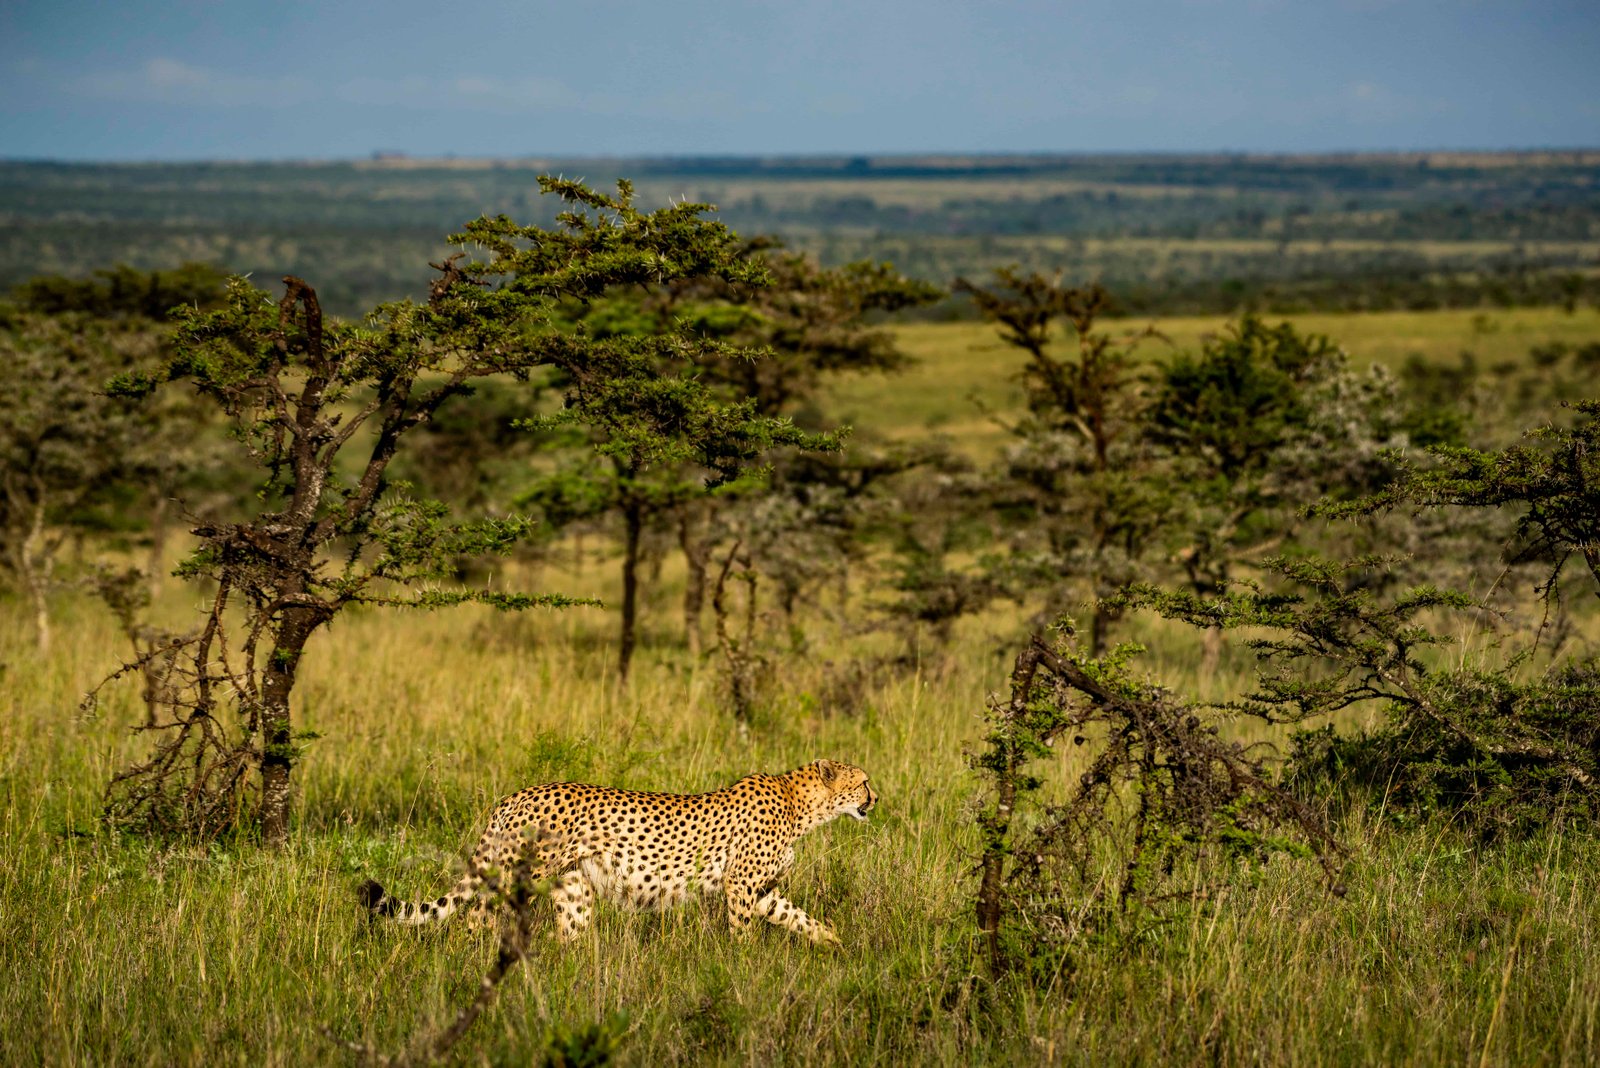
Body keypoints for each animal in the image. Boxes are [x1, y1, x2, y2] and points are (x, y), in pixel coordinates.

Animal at [357, 758, 876, 946]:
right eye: (864, 781)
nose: (877, 798)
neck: (801, 804)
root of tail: (516, 794)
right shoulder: (741, 886)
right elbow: (744, 931)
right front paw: (745, 967)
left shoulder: (761, 890)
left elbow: (799, 916)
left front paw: (835, 944)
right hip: (518, 874)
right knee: (477, 913)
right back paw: (471, 955)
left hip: (573, 889)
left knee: (568, 935)